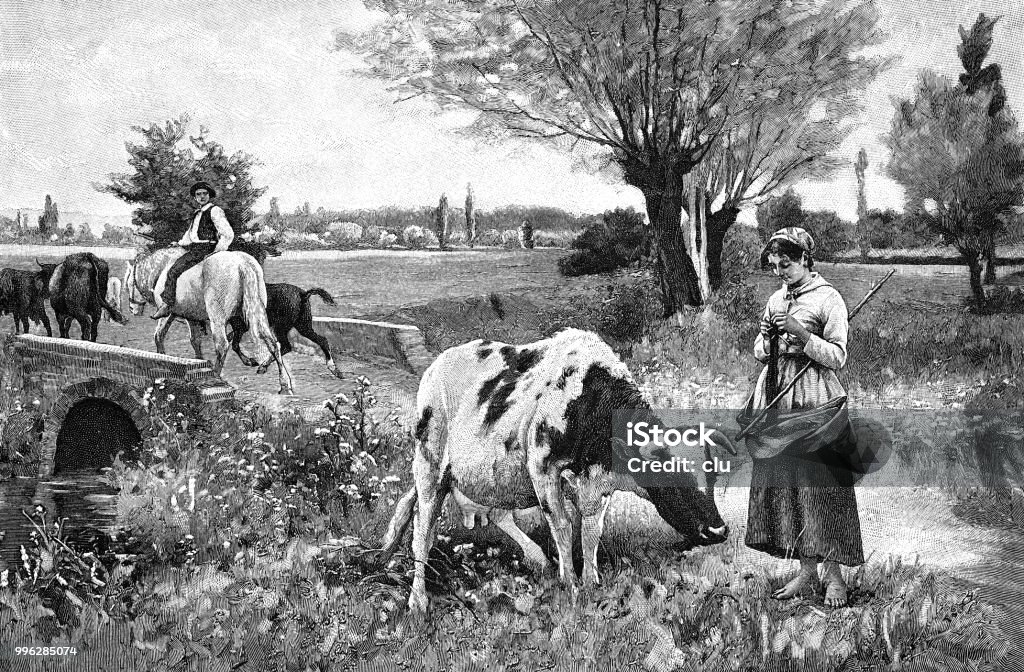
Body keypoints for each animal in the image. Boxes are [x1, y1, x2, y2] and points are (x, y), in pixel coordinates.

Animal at [123, 246, 294, 393]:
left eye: (128, 283)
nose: (132, 309)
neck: (164, 267)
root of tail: (242, 264)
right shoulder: (191, 318)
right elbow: (195, 341)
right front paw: (199, 363)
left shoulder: (169, 314)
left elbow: (159, 335)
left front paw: (161, 357)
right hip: (253, 313)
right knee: (271, 343)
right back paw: (284, 384)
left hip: (217, 320)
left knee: (222, 345)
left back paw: (216, 377)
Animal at [376, 327, 737, 610]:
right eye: (669, 475)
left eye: (713, 474)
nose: (718, 531)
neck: (589, 401)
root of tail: (439, 362)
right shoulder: (542, 468)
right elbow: (562, 527)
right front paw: (572, 586)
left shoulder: (597, 485)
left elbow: (591, 532)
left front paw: (591, 581)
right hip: (430, 462)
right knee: (423, 531)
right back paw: (417, 599)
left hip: (490, 473)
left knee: (492, 513)